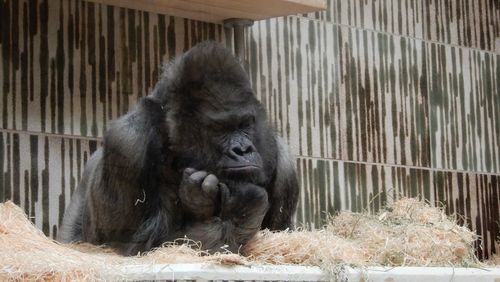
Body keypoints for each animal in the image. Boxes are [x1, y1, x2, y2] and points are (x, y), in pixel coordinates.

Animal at [60, 41, 298, 256]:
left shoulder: (284, 164)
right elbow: (124, 245)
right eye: (219, 129)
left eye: (245, 124)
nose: (243, 149)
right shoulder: (126, 142)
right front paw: (238, 214)